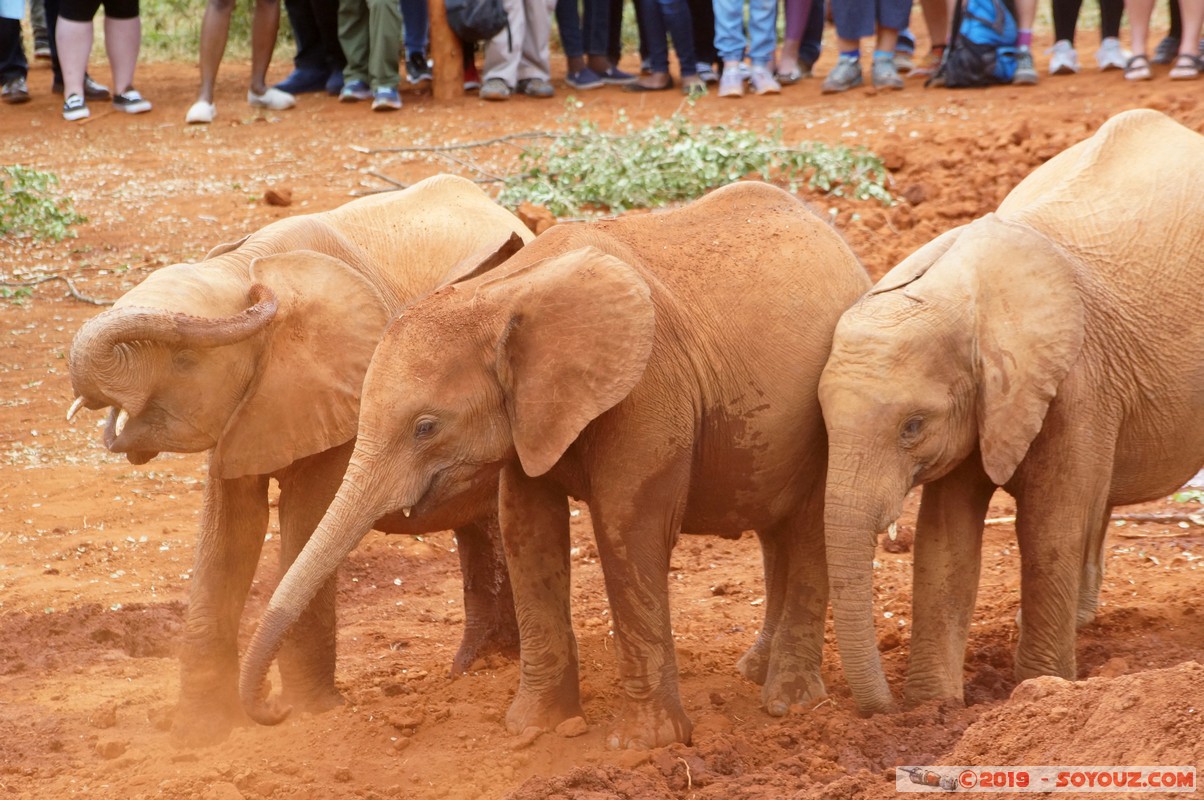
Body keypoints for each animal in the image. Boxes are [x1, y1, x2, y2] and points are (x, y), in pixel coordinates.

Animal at [67, 173, 532, 742]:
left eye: (184, 360)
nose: (261, 289)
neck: (242, 263)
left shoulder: (345, 401)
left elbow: (303, 517)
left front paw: (307, 714)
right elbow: (230, 530)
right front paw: (201, 733)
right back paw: (480, 667)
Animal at [237, 180, 876, 751]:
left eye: (425, 427)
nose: (273, 710)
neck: (501, 295)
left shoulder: (648, 388)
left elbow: (628, 529)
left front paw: (644, 746)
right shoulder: (530, 415)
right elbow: (527, 529)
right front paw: (532, 731)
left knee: (810, 525)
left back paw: (789, 704)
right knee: (777, 532)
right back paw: (755, 673)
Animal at [818, 109, 1204, 713]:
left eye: (912, 427)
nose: (882, 709)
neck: (963, 294)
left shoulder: (1077, 381)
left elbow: (1048, 528)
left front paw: (1038, 691)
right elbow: (944, 539)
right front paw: (933, 708)